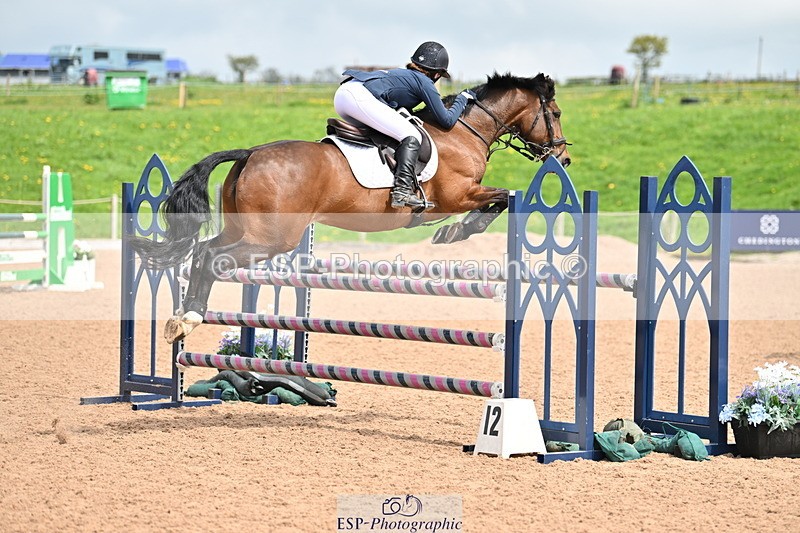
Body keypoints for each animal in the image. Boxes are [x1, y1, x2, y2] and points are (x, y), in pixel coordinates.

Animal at [131, 72, 571, 343]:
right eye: (555, 113)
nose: (563, 158)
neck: (463, 132)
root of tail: (250, 153)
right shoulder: (457, 196)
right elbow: (502, 197)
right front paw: (455, 232)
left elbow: (502, 198)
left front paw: (455, 232)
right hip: (272, 239)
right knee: (213, 256)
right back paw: (189, 318)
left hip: (245, 229)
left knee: (204, 250)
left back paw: (183, 317)